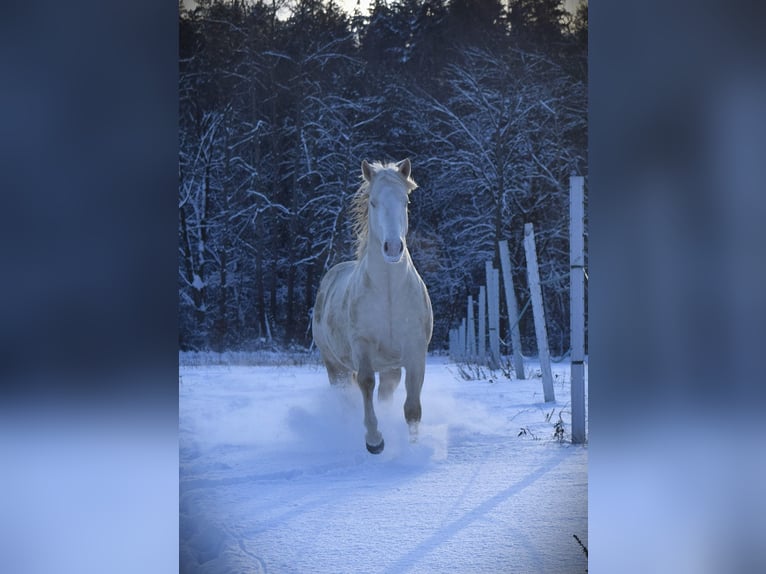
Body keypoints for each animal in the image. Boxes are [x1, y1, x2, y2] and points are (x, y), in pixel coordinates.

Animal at [312, 158, 433, 454]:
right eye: (374, 202)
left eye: (405, 201)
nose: (393, 248)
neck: (388, 295)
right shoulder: (362, 347)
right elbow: (366, 384)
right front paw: (375, 440)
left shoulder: (415, 352)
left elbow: (412, 408)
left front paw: (413, 448)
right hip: (335, 366)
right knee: (347, 397)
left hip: (389, 367)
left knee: (386, 393)